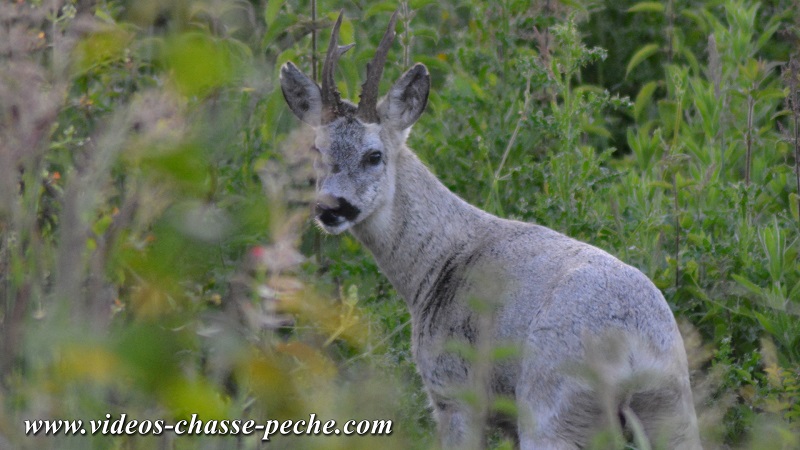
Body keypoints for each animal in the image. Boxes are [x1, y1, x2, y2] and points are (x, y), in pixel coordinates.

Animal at [280, 10, 700, 450]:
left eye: (374, 155)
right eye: (316, 150)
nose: (330, 207)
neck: (433, 268)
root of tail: (633, 345)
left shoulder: (454, 391)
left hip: (551, 405)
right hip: (672, 411)